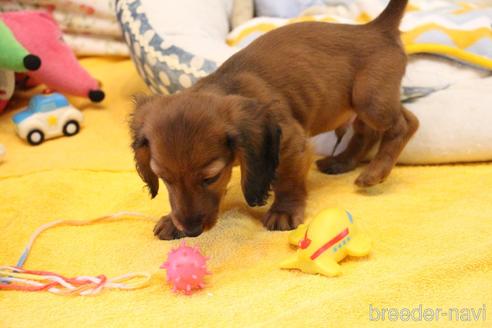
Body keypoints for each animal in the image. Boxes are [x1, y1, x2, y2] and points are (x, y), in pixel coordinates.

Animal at [131, 0, 418, 241]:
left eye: (211, 177)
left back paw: (375, 171)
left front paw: (284, 211)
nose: (191, 231)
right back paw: (341, 161)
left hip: (370, 100)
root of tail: (376, 28)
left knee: (408, 122)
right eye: (164, 178)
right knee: (367, 132)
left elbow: (288, 181)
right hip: (358, 105)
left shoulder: (290, 144)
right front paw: (172, 221)